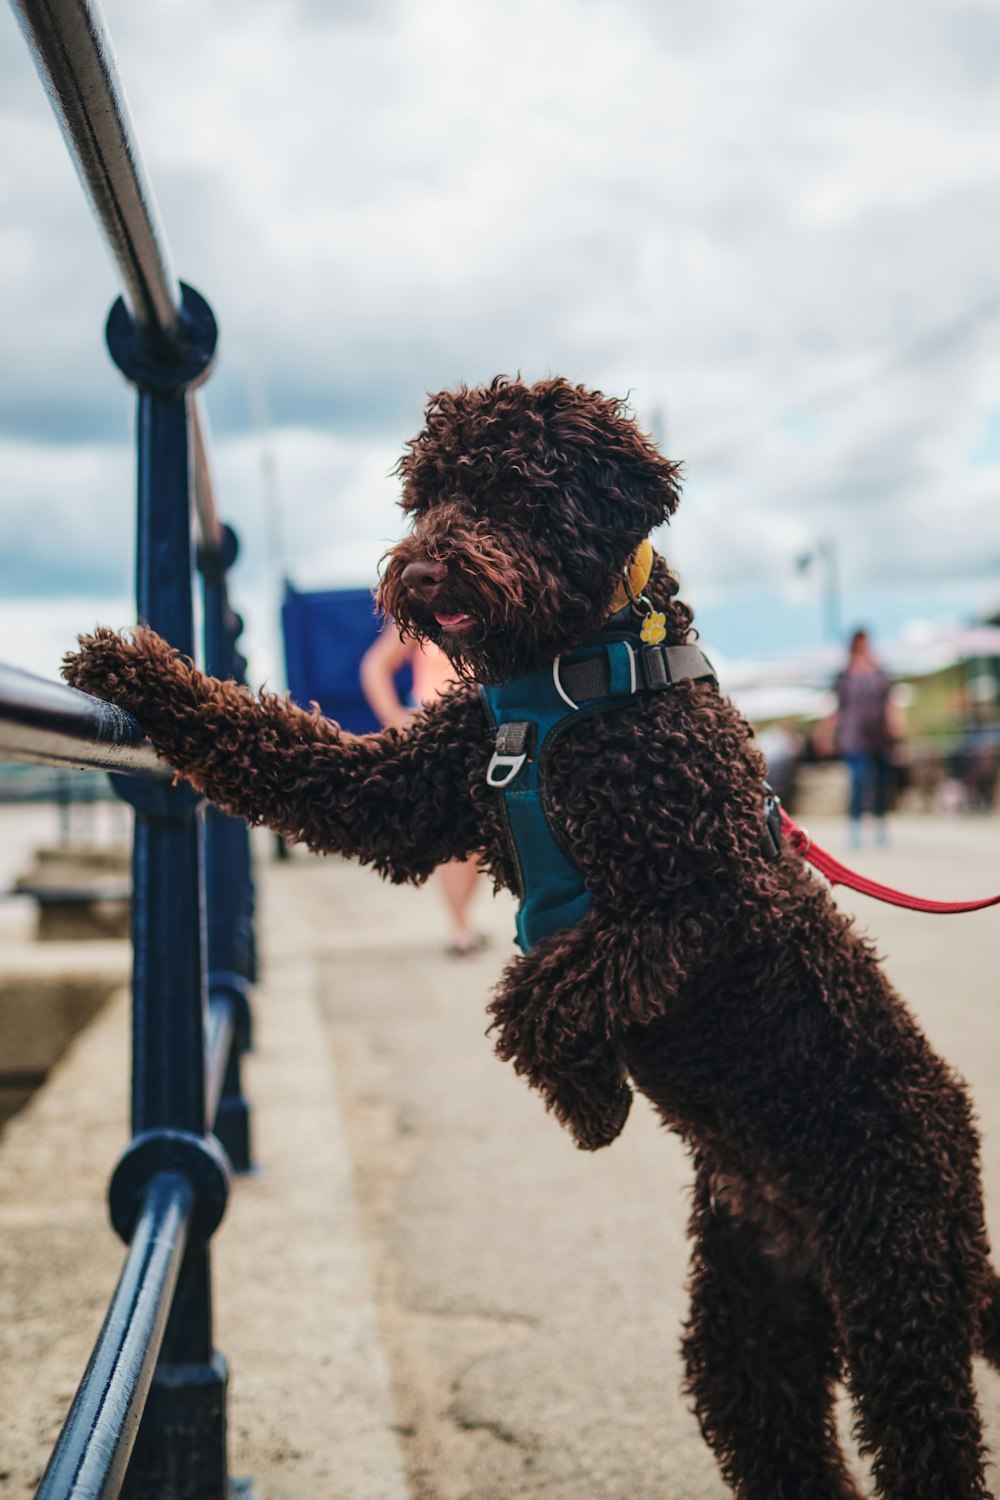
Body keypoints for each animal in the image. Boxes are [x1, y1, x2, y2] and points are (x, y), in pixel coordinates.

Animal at [66, 378, 995, 1500]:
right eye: (427, 493)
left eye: (513, 488)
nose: (423, 569)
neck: (569, 679)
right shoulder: (400, 794)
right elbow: (274, 744)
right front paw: (133, 667)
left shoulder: (711, 892)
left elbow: (538, 989)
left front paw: (589, 1103)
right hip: (748, 1329)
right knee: (784, 1443)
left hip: (900, 1291)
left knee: (931, 1444)